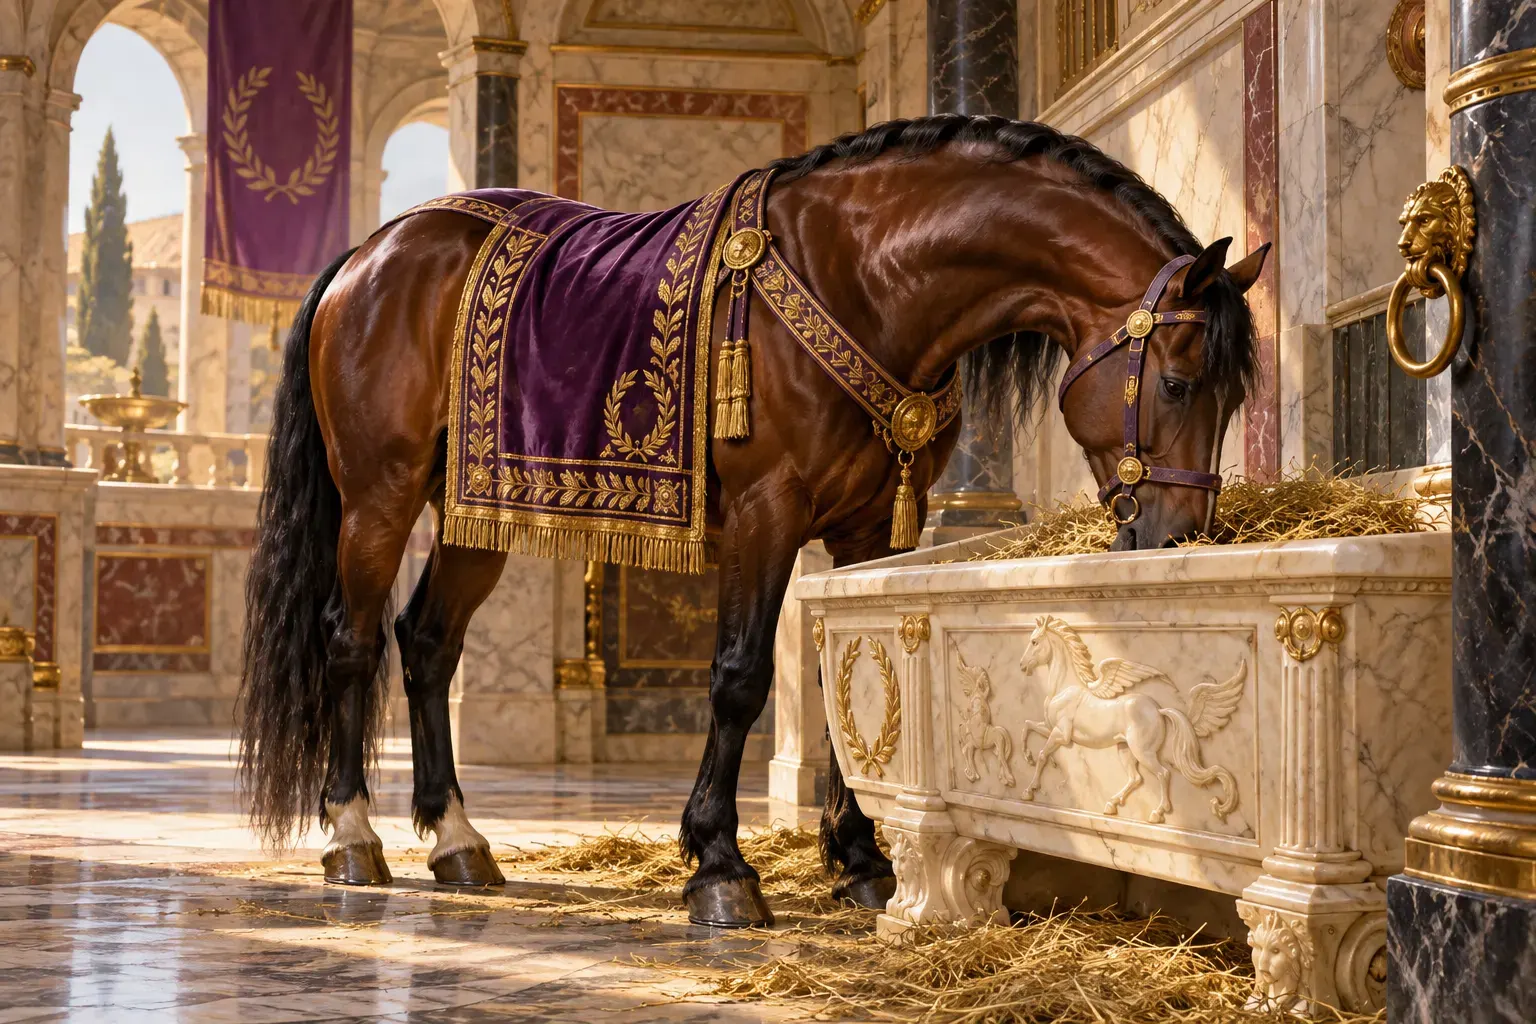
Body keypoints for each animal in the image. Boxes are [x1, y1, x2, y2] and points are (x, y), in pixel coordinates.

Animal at [1017, 614, 1245, 823]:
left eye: (1034, 641)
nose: (1022, 666)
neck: (1063, 688)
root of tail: (1158, 710)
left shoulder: (1061, 734)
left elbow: (1042, 753)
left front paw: (1029, 790)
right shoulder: (1049, 727)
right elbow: (1027, 727)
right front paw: (1028, 758)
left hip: (1142, 751)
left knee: (1163, 774)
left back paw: (1156, 813)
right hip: (1125, 749)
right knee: (1135, 778)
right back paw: (1111, 805)